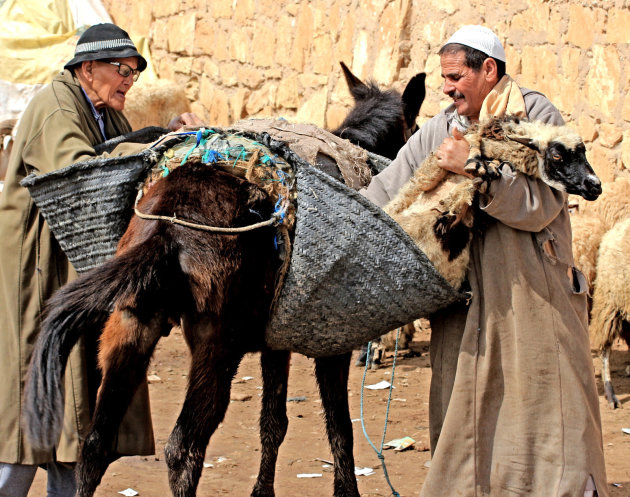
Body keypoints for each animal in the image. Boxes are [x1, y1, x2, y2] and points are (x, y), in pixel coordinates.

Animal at [386, 114, 608, 288]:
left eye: (584, 153)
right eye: (557, 156)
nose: (595, 185)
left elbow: (475, 184)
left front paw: (468, 188)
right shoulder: (428, 174)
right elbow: (474, 143)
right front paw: (474, 163)